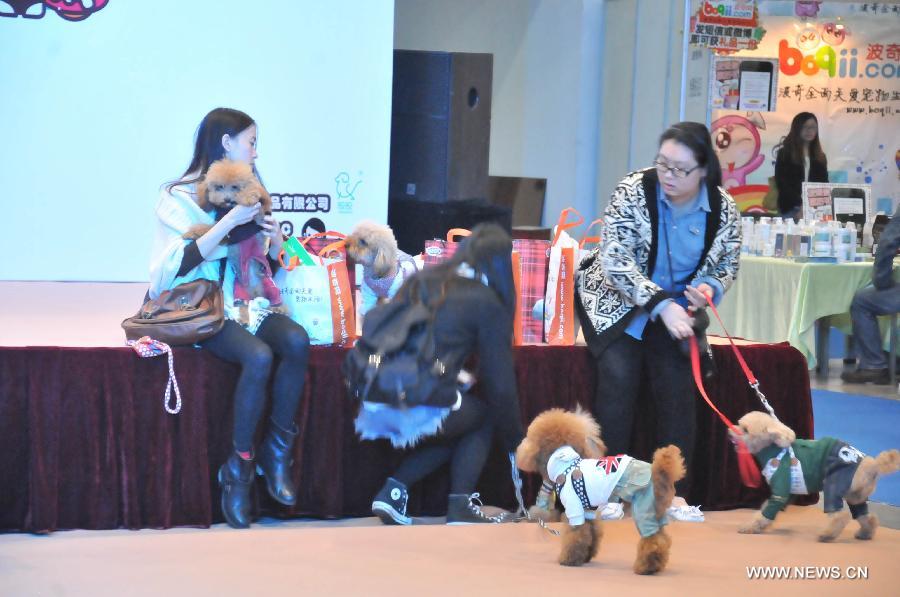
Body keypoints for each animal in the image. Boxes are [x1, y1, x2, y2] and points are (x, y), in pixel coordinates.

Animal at [516, 406, 684, 572]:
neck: (565, 463)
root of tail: (660, 471)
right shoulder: (588, 510)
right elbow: (591, 531)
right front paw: (586, 556)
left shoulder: (574, 508)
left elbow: (575, 534)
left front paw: (569, 559)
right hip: (656, 511)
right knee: (662, 537)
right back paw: (656, 565)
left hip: (644, 506)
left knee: (652, 539)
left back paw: (646, 567)